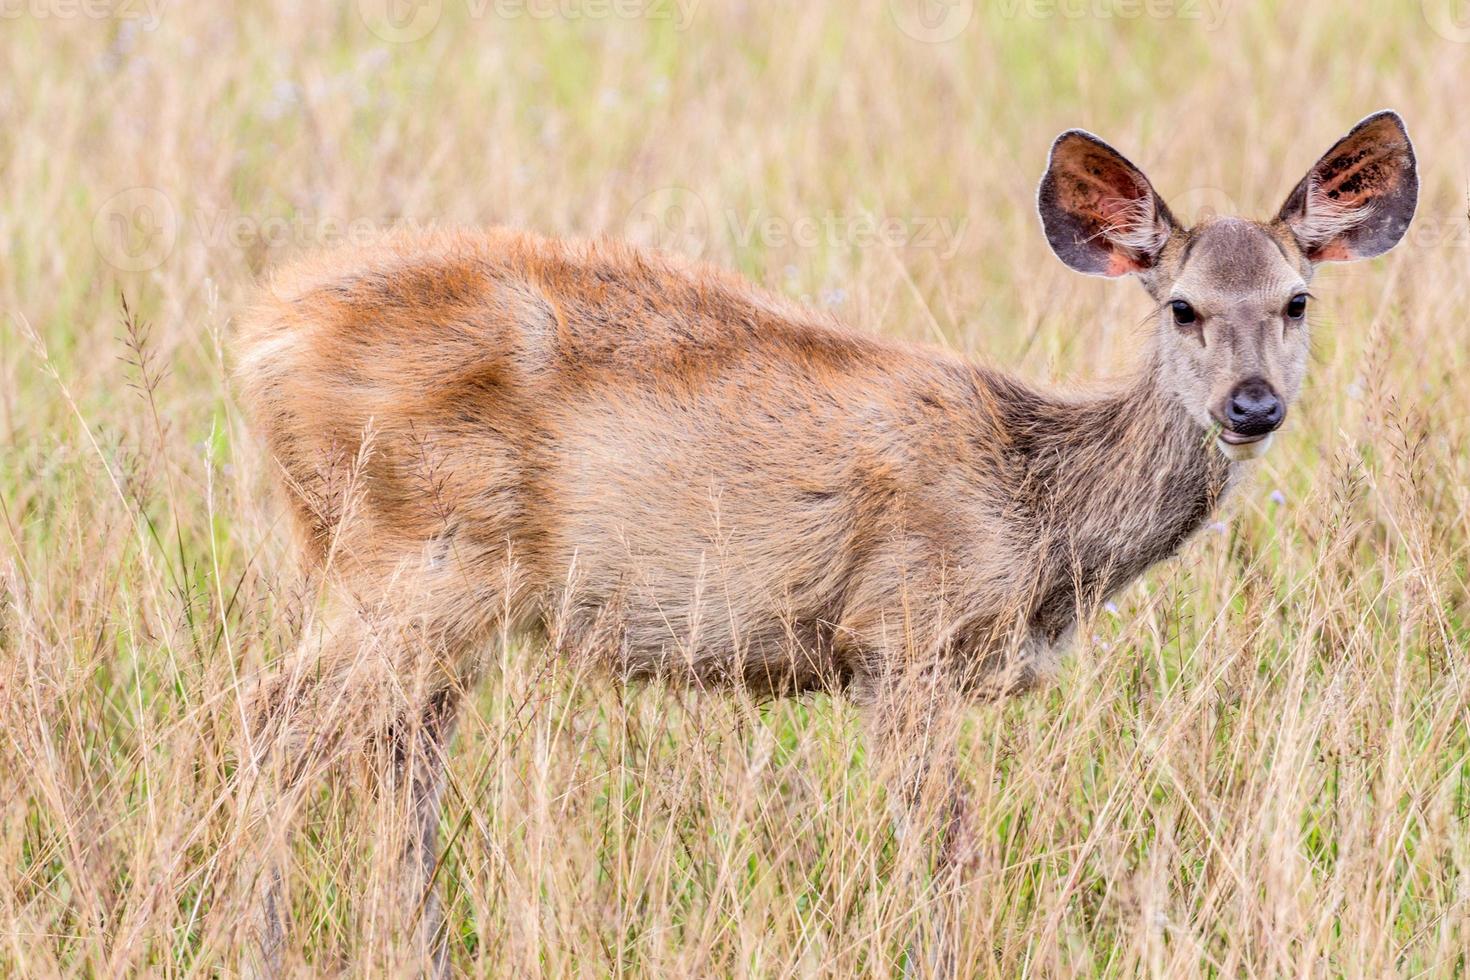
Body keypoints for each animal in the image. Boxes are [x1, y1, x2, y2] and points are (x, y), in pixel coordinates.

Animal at [235, 113, 1417, 975]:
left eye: (1297, 301)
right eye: (1181, 307)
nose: (1252, 405)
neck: (1035, 506)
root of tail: (262, 339)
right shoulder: (897, 634)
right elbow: (948, 844)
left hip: (417, 587)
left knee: (398, 761)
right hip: (418, 557)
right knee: (276, 722)